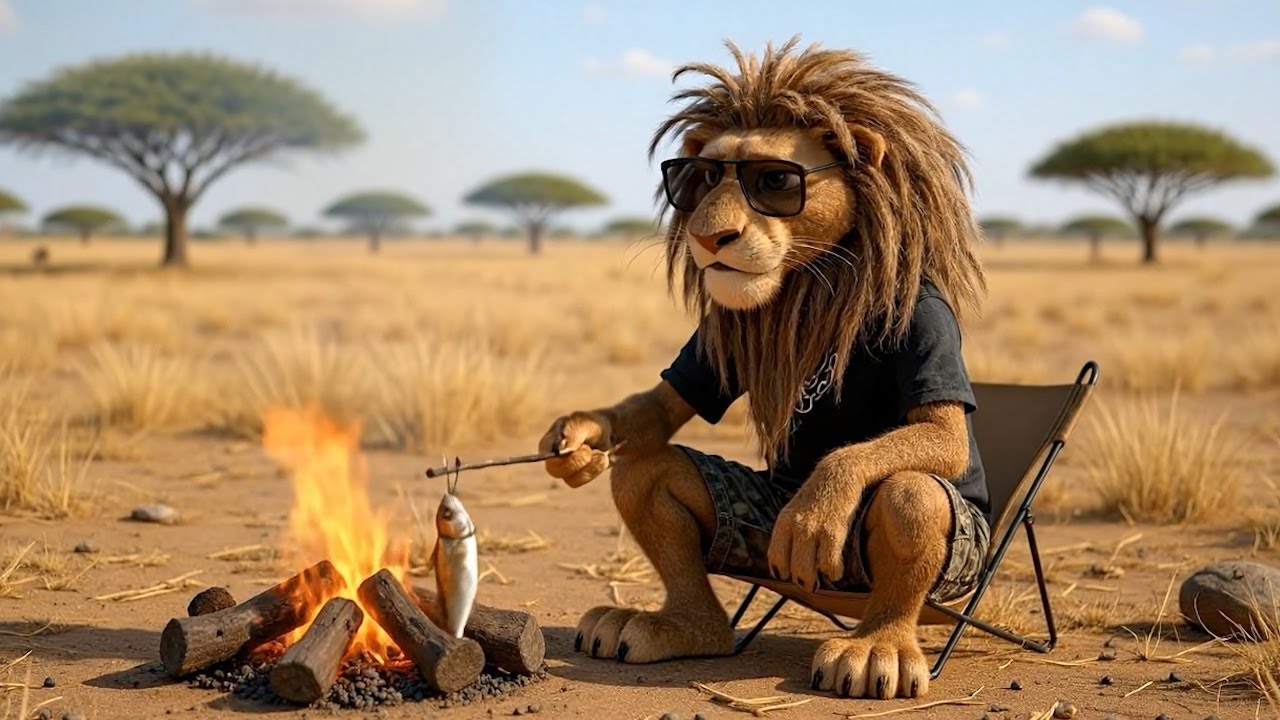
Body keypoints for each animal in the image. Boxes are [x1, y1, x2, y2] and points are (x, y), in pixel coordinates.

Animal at [539, 36, 989, 701]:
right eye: (699, 178)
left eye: (774, 180)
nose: (709, 236)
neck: (814, 283)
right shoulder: (713, 341)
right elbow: (660, 408)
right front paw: (577, 439)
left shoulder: (926, 319)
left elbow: (938, 433)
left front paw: (816, 508)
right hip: (751, 528)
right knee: (648, 469)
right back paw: (678, 627)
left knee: (912, 492)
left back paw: (876, 649)